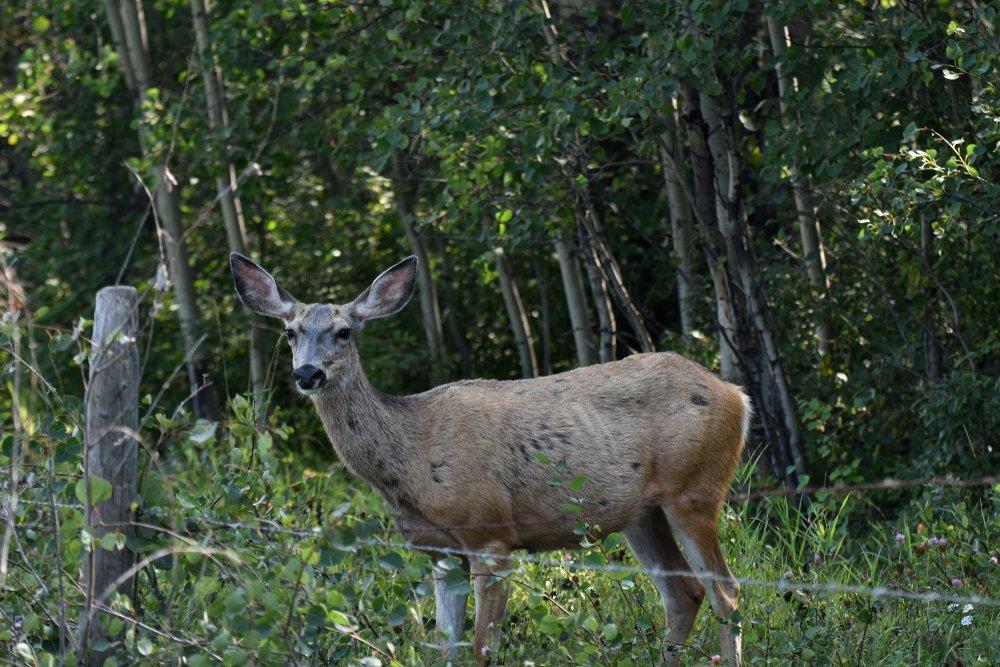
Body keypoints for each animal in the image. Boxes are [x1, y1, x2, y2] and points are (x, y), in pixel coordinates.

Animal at [232, 253, 752, 664]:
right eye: (291, 332)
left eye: (343, 332)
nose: (307, 374)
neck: (409, 459)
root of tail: (736, 396)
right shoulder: (440, 551)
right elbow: (446, 647)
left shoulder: (490, 534)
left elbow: (483, 648)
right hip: (641, 514)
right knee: (684, 594)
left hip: (696, 491)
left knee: (726, 591)